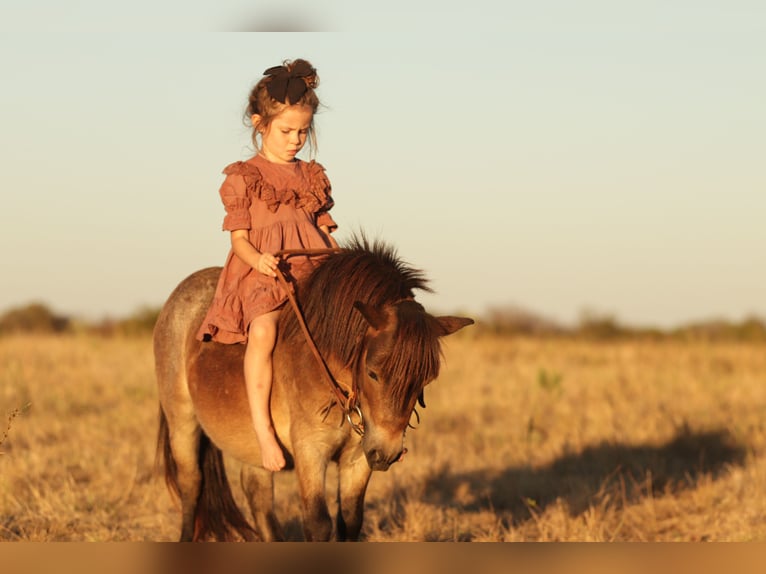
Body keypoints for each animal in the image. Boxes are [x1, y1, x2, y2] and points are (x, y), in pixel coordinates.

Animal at [153, 235, 473, 541]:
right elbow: (318, 524)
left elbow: (351, 520)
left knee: (258, 498)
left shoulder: (359, 457)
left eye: (425, 380)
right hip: (182, 423)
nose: (387, 454)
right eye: (373, 373)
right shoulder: (311, 452)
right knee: (192, 486)